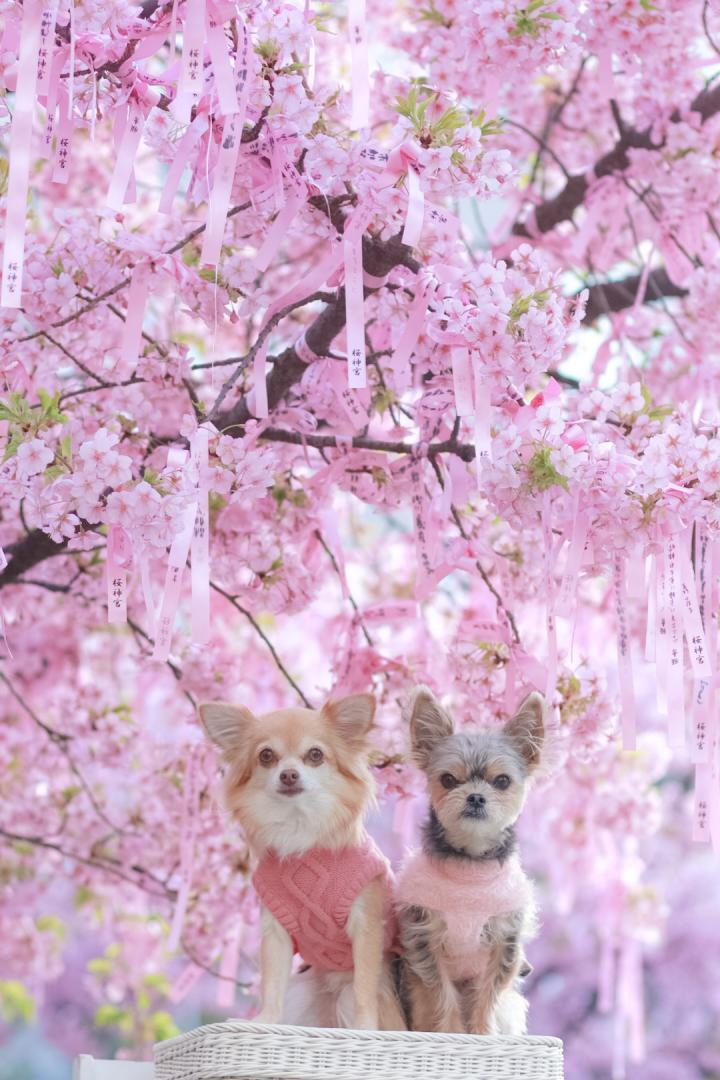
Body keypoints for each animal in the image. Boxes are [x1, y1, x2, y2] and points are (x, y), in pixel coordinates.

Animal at [397, 686, 544, 1032]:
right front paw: (453, 1033)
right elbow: (443, 996)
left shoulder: (504, 944)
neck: (470, 864)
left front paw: (482, 1033)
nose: (476, 797)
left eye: (502, 781)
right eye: (448, 780)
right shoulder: (425, 941)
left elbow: (487, 997)